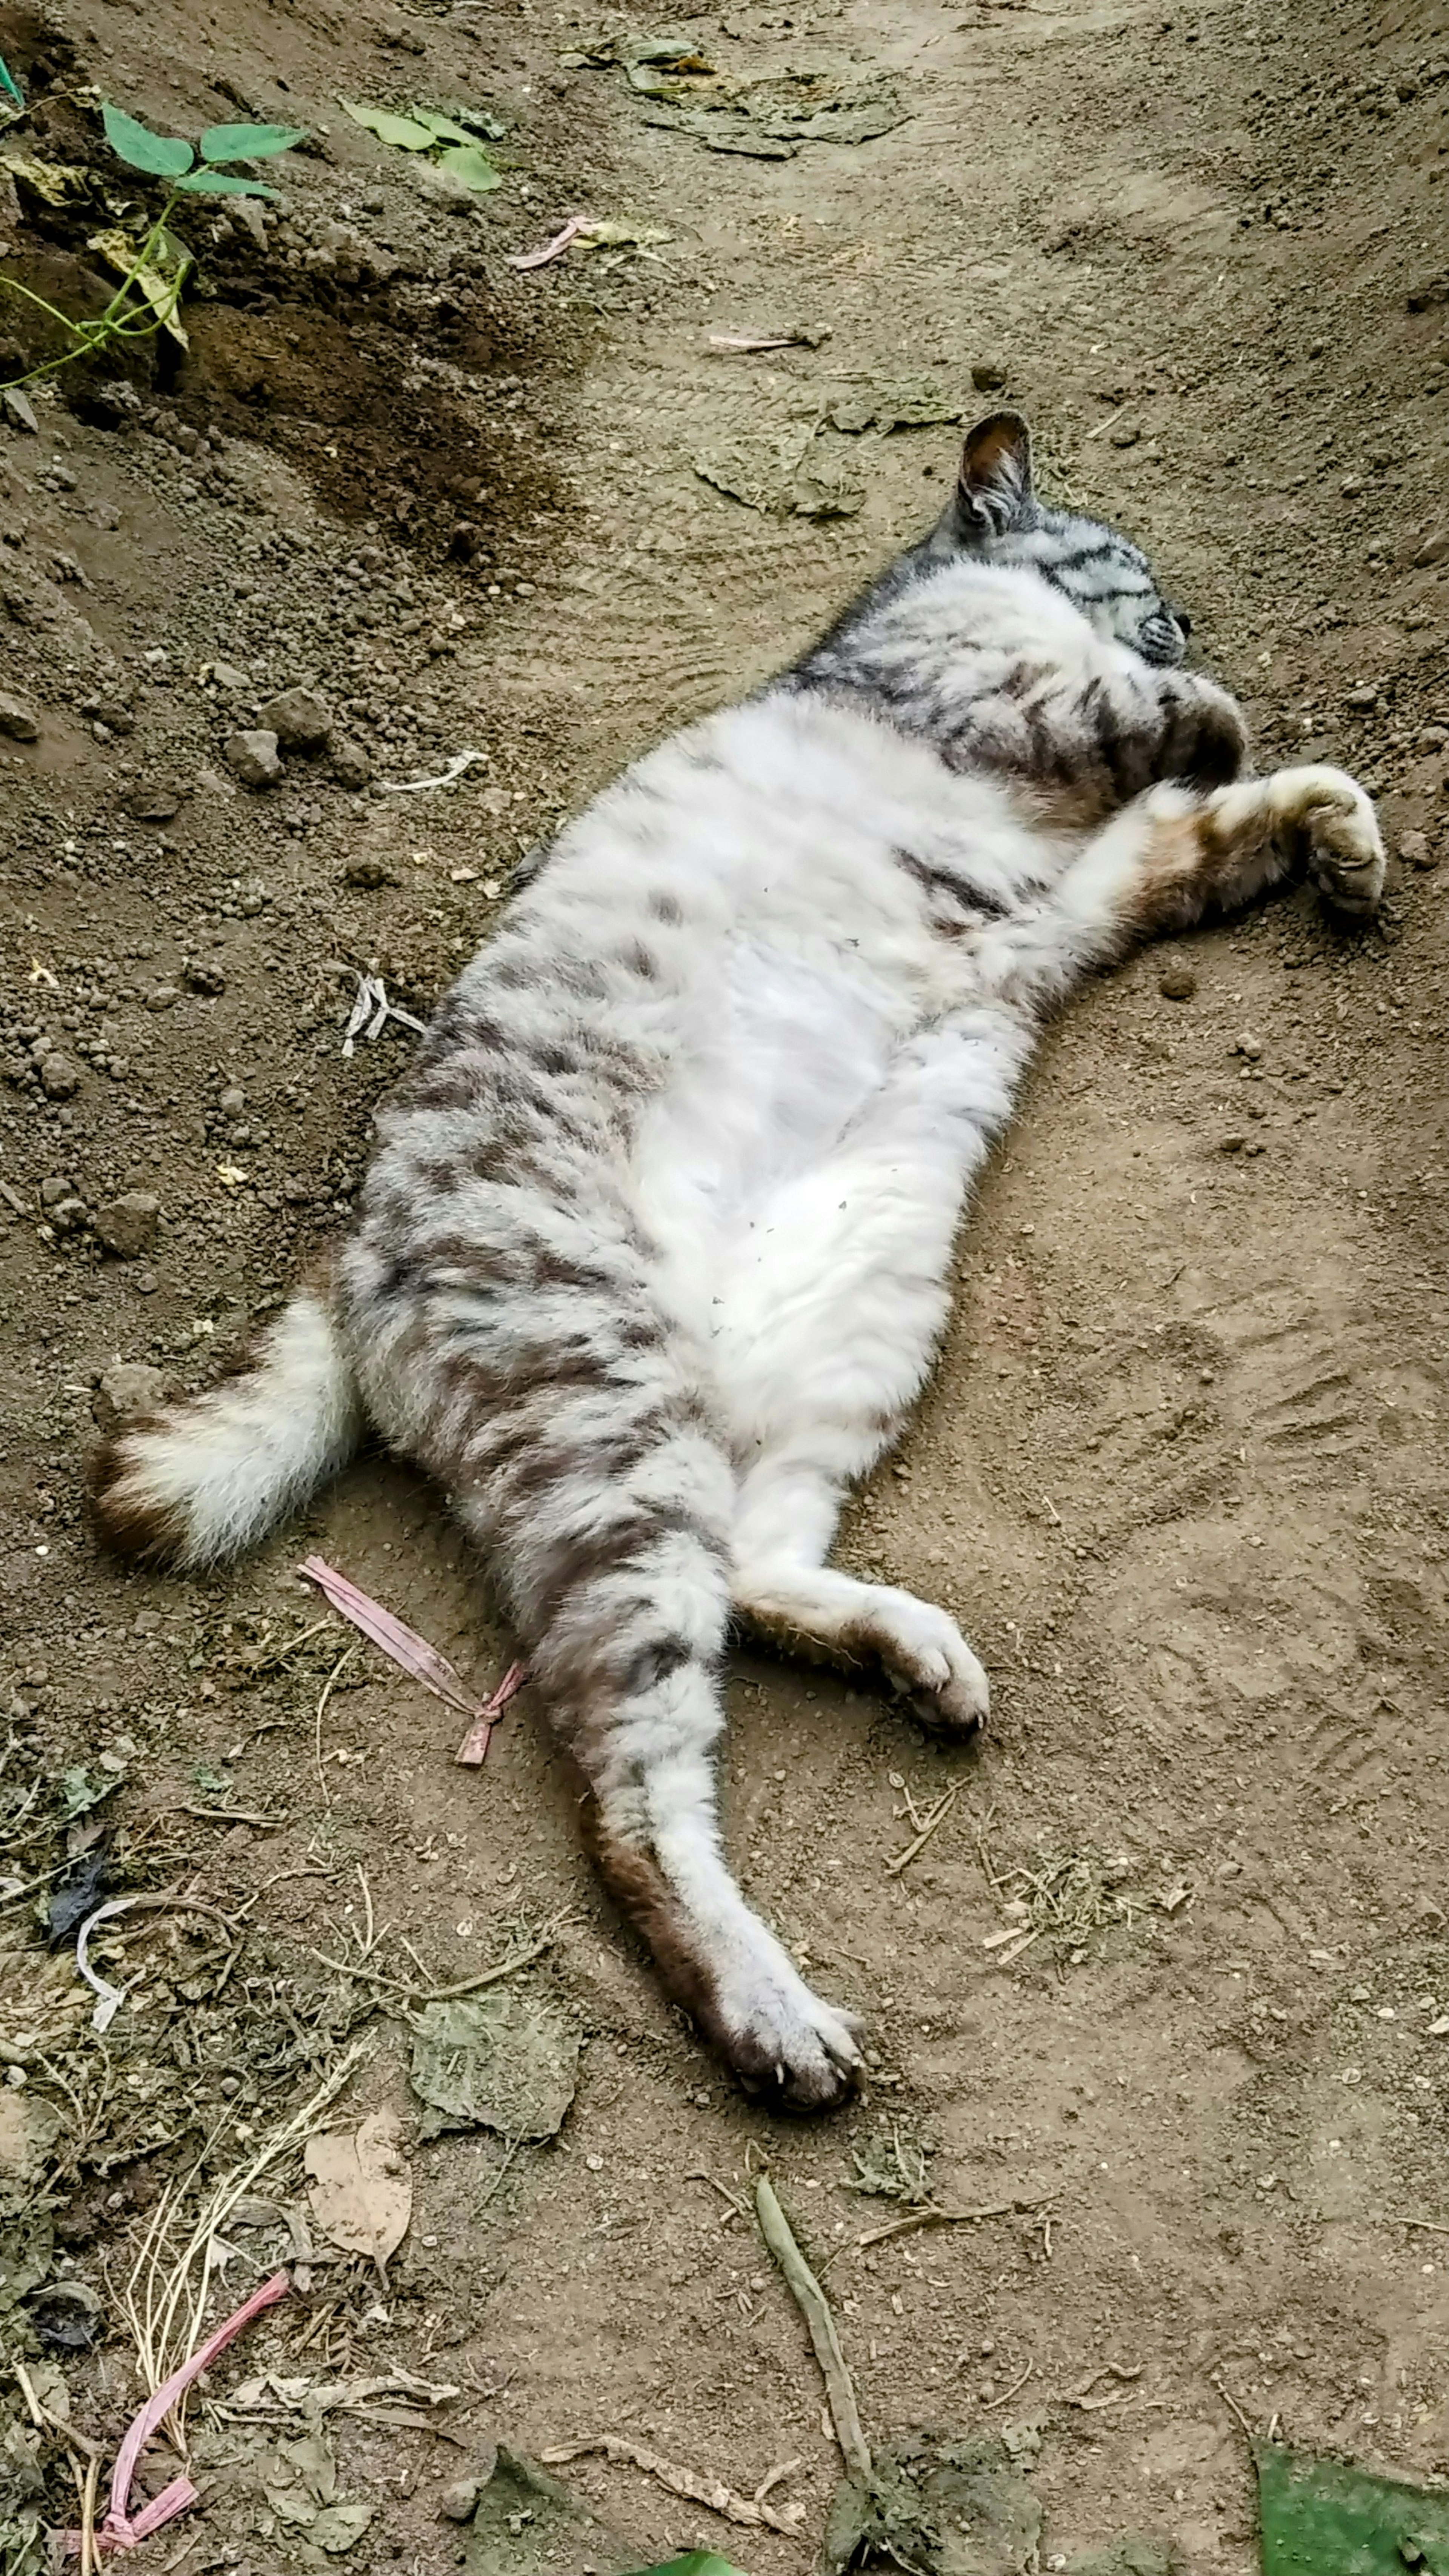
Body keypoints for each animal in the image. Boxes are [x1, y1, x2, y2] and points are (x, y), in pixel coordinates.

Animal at [96, 417, 1382, 2112]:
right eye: (1134, 571)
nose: (1185, 618)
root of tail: (353, 1251)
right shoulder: (1017, 709)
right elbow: (1167, 724)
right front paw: (1218, 710)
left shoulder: (1129, 864)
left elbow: (1275, 797)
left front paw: (1347, 841)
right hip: (610, 1433)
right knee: (635, 1799)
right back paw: (774, 2014)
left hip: (860, 1317)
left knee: (755, 1574)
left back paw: (912, 1656)